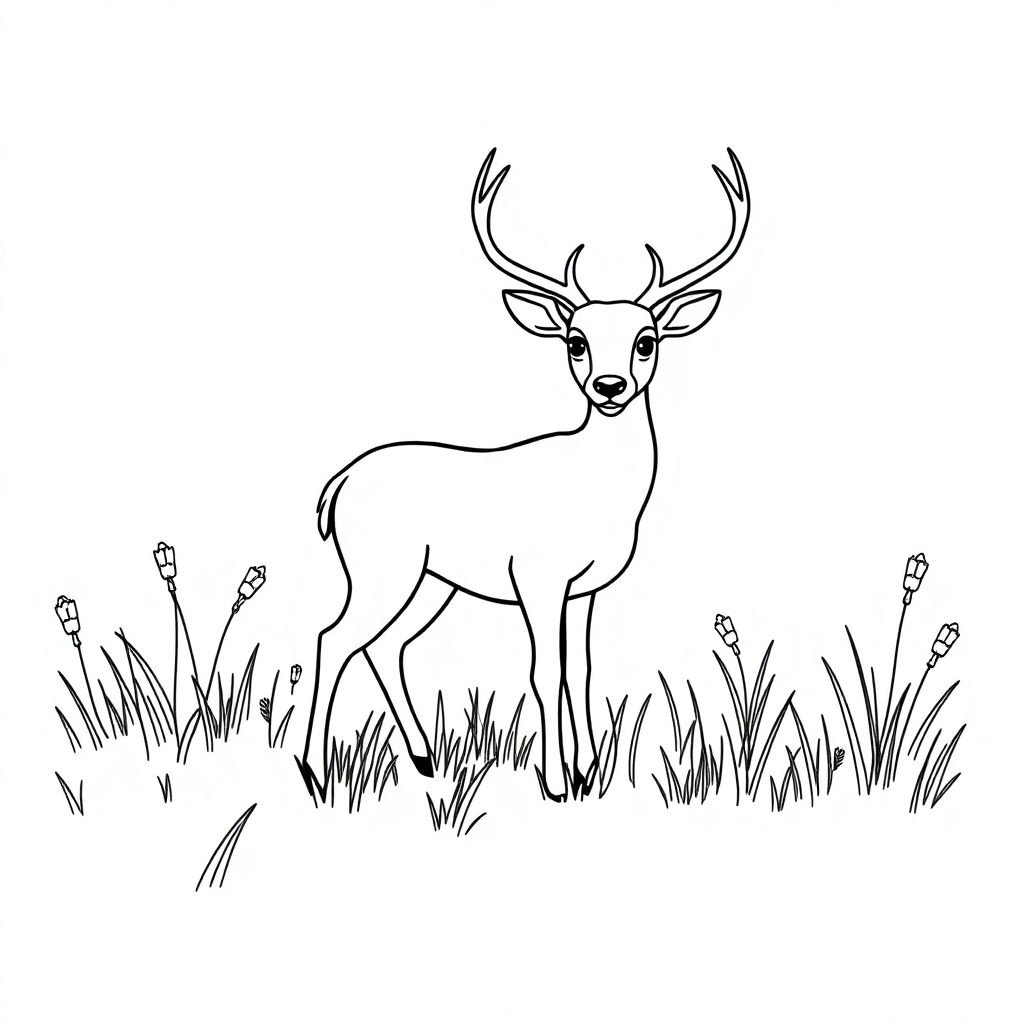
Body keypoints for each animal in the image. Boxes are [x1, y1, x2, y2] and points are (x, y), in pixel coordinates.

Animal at [298, 148, 750, 802]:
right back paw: (312, 770)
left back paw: (425, 759)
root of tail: (336, 488)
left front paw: (592, 772)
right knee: (334, 638)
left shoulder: (586, 588)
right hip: (381, 567)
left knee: (385, 645)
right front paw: (557, 781)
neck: (599, 494)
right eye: (576, 341)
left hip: (433, 581)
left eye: (646, 340)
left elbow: (580, 670)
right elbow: (543, 671)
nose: (608, 387)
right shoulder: (536, 577)